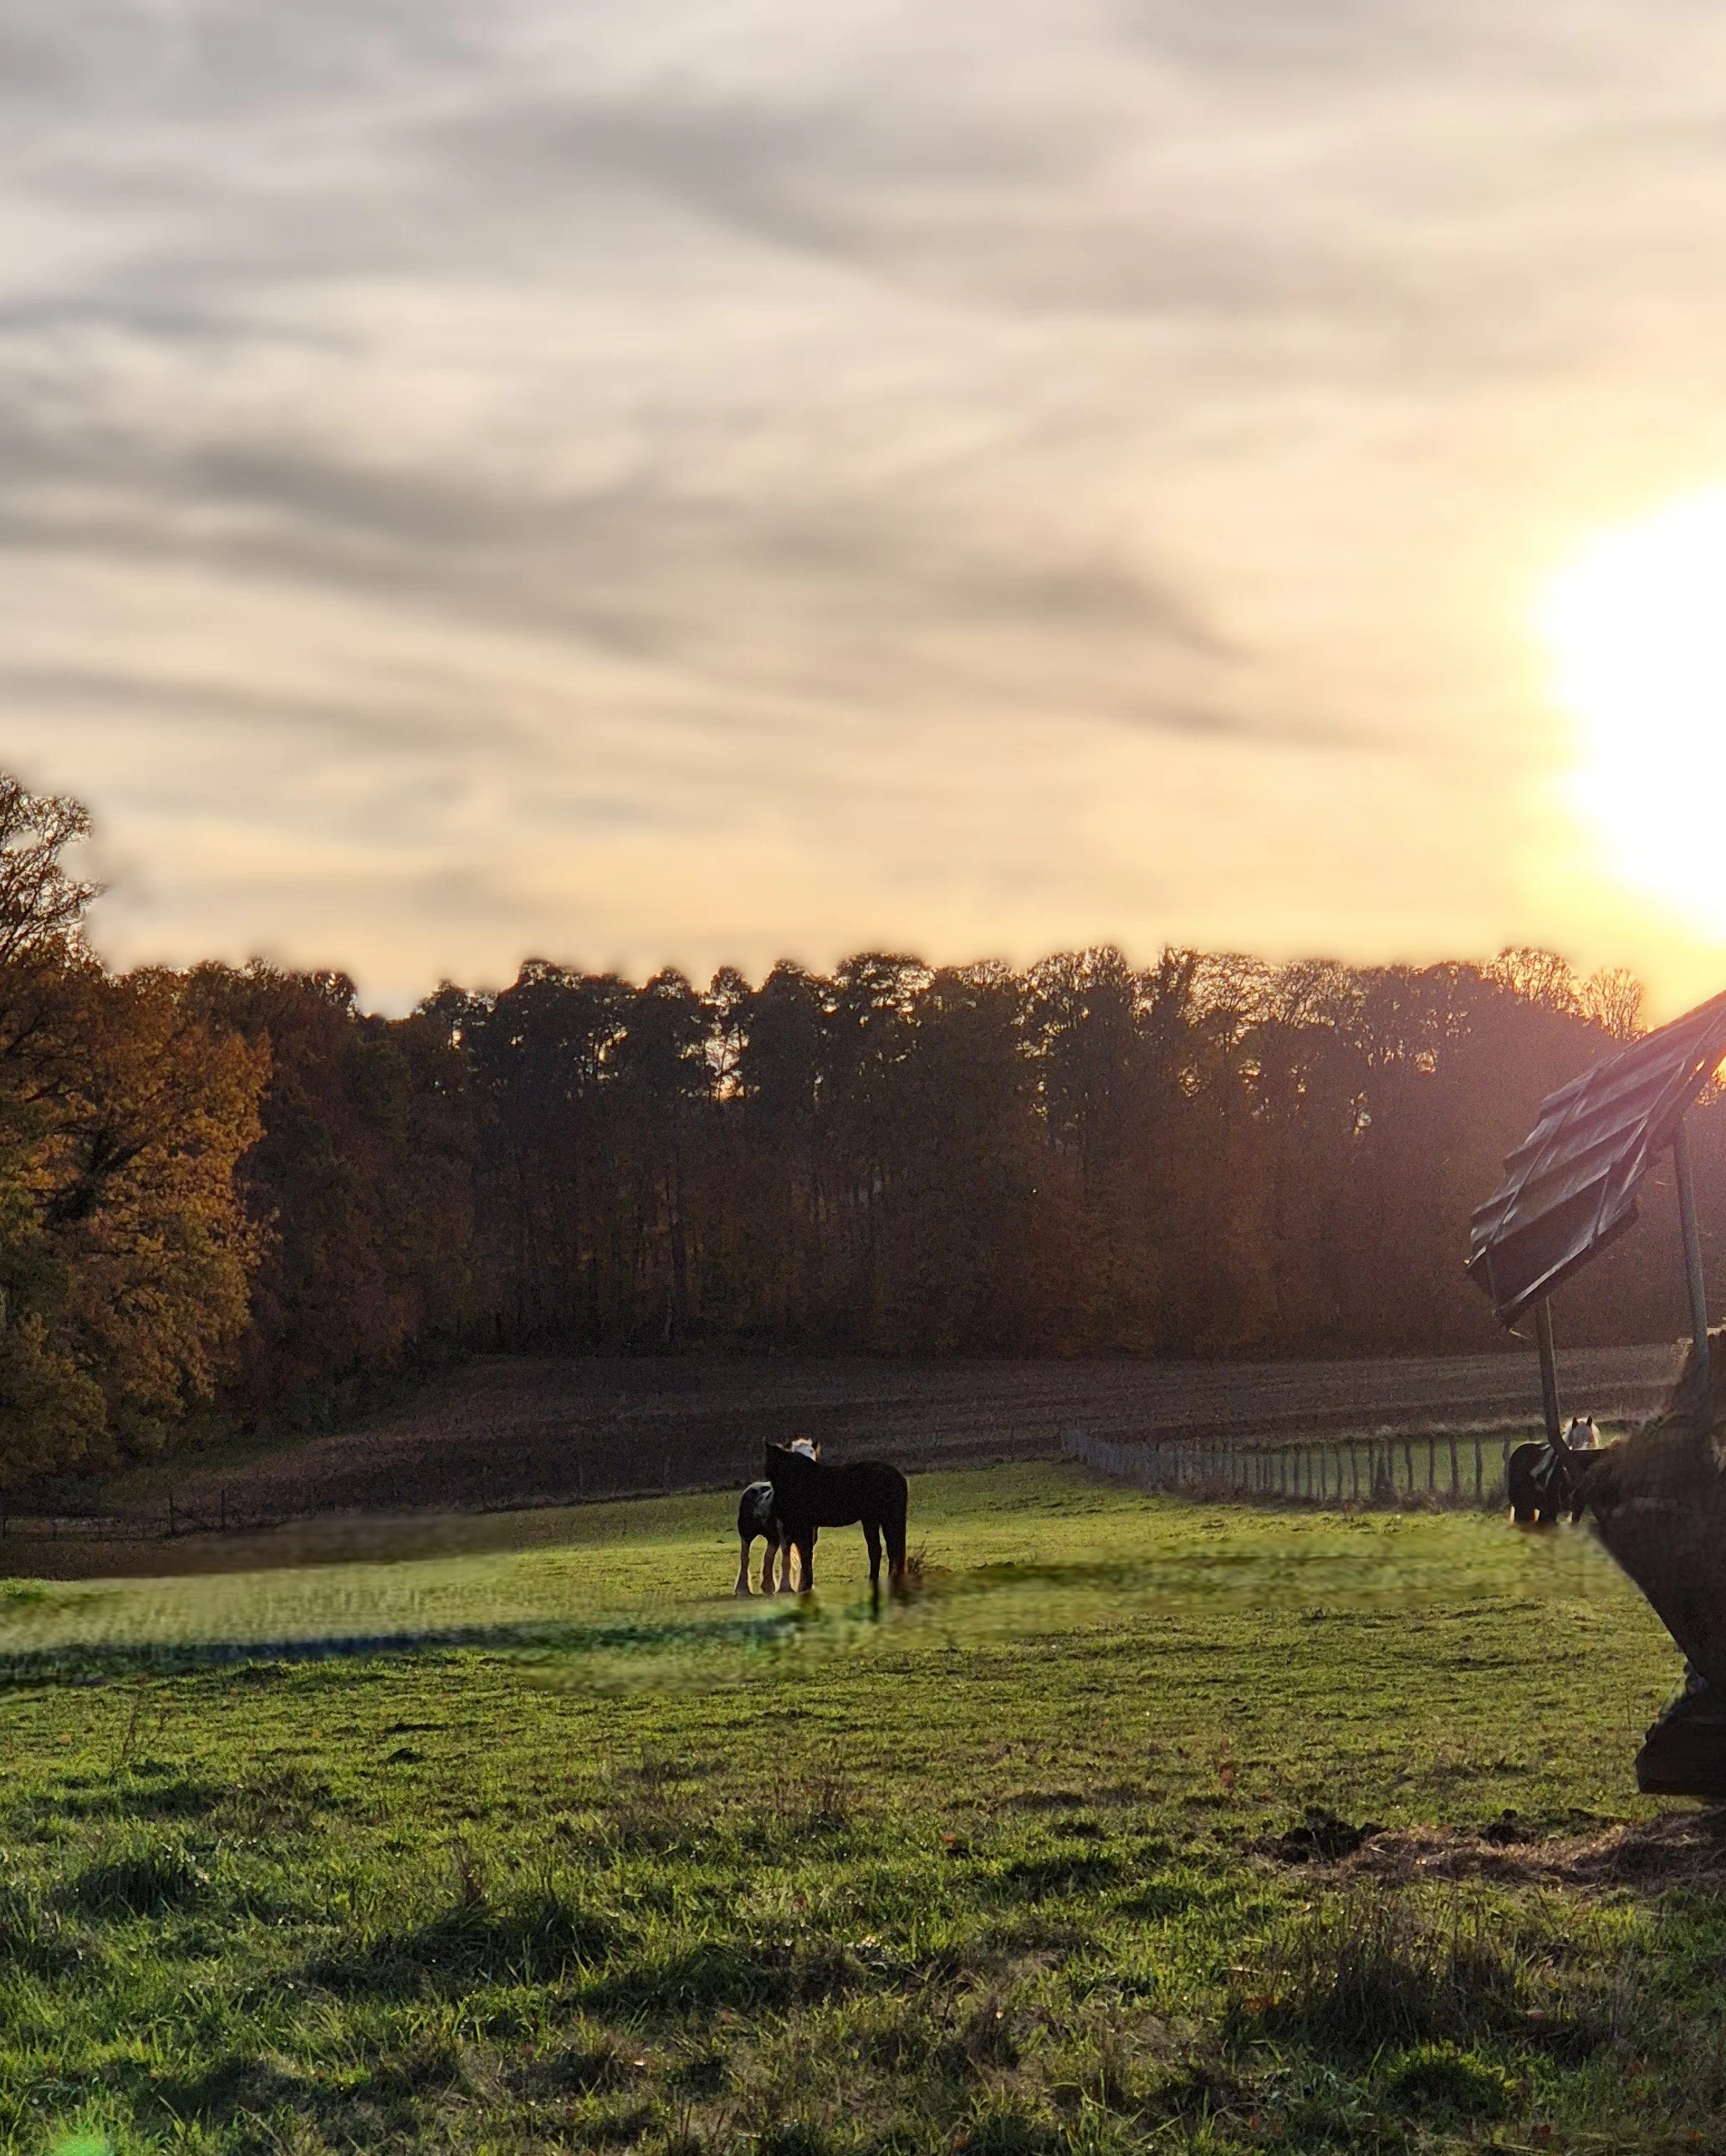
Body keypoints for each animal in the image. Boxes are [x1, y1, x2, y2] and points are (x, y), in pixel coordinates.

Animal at [734, 1438, 820, 1595]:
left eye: (812, 1452)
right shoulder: (785, 1534)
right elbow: (786, 1559)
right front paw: (786, 1588)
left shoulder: (810, 1535)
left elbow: (806, 1558)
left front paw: (803, 1586)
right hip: (746, 1534)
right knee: (745, 1557)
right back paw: (742, 1589)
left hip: (772, 1538)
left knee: (768, 1557)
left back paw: (768, 1587)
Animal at [763, 1441, 908, 1599]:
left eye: (769, 1460)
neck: (796, 1478)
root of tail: (896, 1475)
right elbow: (805, 1554)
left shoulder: (803, 1526)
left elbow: (805, 1554)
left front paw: (805, 1586)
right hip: (877, 1521)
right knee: (885, 1550)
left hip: (880, 1520)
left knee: (885, 1550)